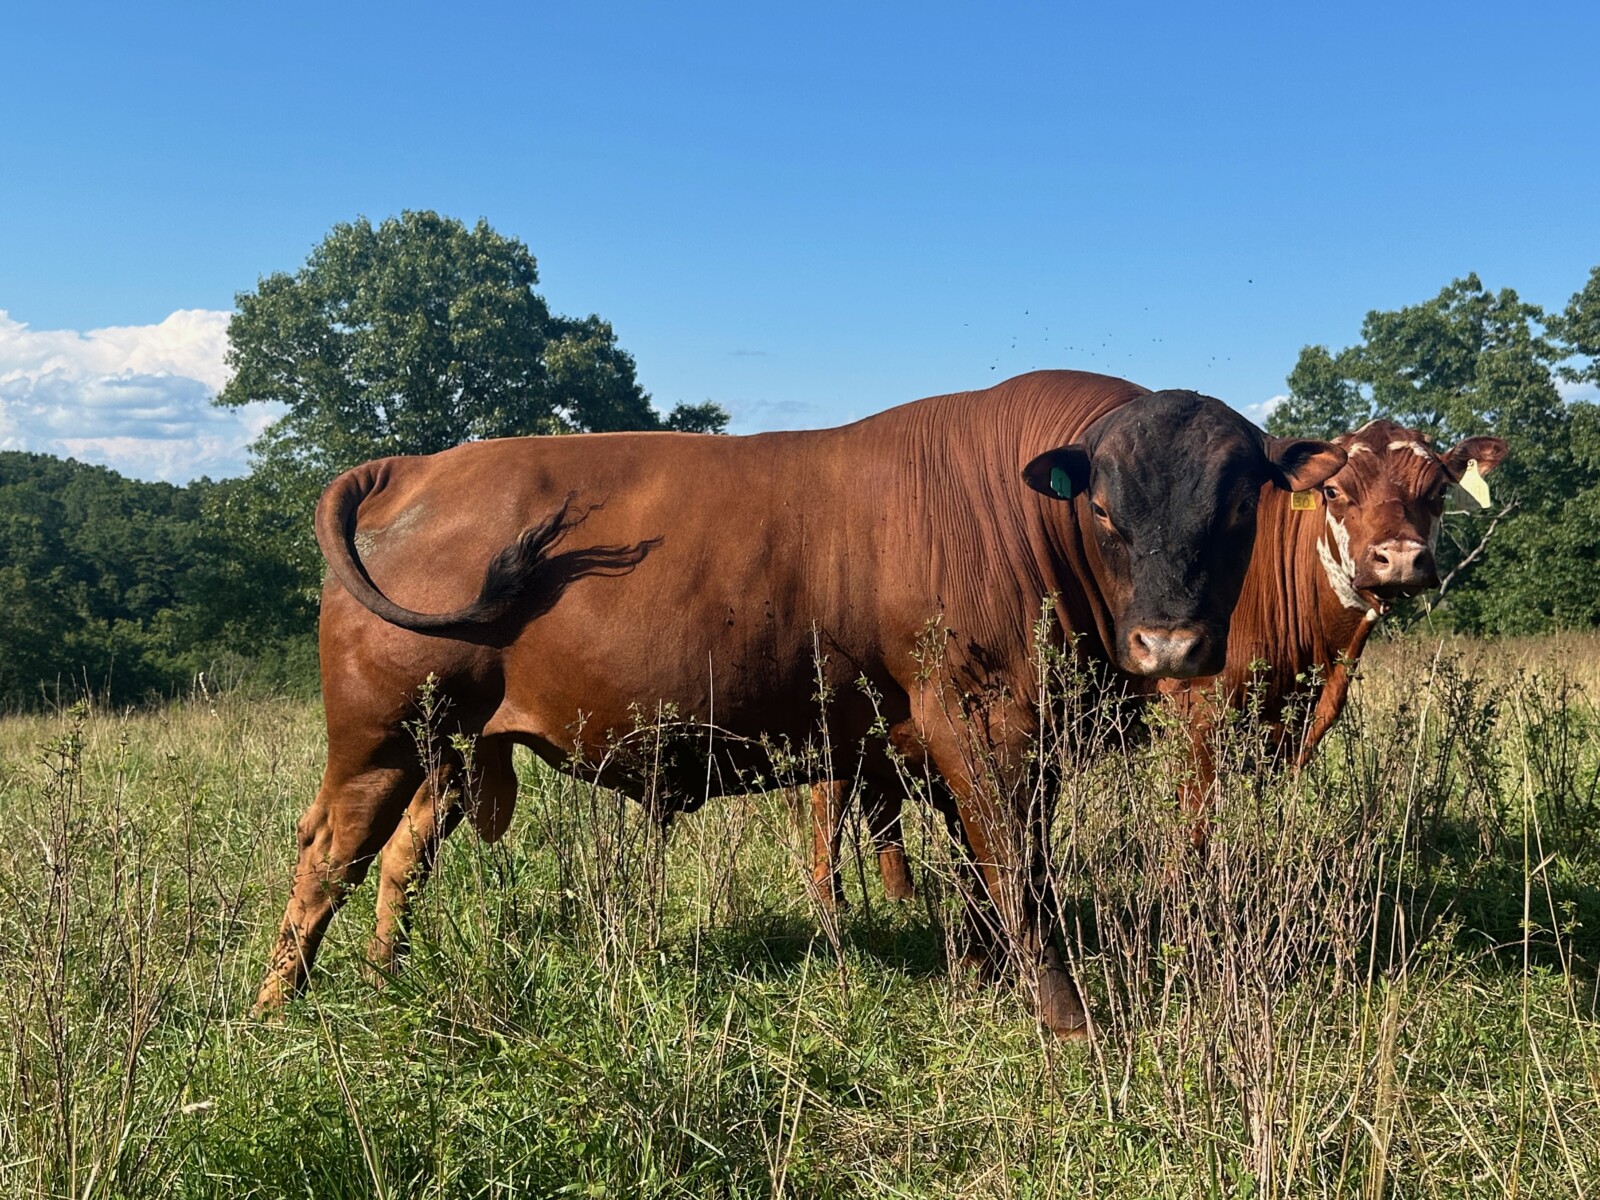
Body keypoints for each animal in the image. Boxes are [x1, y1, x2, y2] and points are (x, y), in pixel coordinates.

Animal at [252, 369, 1346, 1036]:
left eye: (1239, 503)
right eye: (1108, 508)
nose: (1172, 645)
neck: (1032, 522)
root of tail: (417, 464)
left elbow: (986, 874)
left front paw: (982, 980)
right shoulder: (984, 722)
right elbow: (1018, 872)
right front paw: (1065, 1016)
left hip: (445, 748)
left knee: (398, 856)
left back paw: (384, 974)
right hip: (378, 735)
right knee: (328, 852)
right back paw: (275, 1005)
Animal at [810, 417, 1508, 898]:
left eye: (1437, 491)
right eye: (1337, 491)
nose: (1400, 559)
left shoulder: (1288, 732)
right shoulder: (1200, 717)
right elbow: (1197, 823)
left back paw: (899, 893)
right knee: (829, 798)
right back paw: (830, 900)